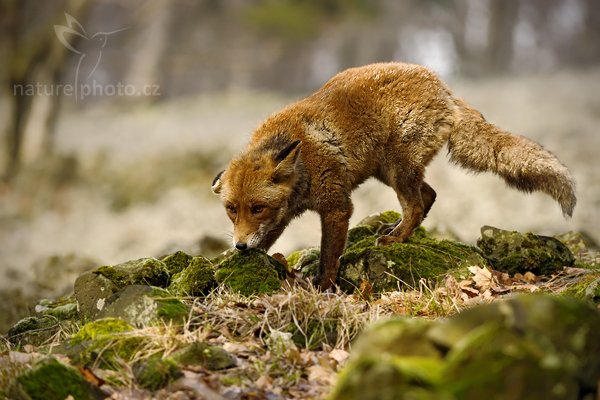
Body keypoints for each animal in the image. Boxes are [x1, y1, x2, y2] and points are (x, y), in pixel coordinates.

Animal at [212, 63, 576, 290]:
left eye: (257, 207)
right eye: (232, 209)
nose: (240, 245)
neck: (304, 167)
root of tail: (443, 85)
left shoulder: (336, 207)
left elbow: (329, 257)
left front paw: (323, 286)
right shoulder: (283, 215)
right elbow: (267, 240)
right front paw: (236, 258)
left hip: (396, 168)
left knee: (416, 203)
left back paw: (396, 238)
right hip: (388, 170)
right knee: (428, 196)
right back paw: (399, 232)